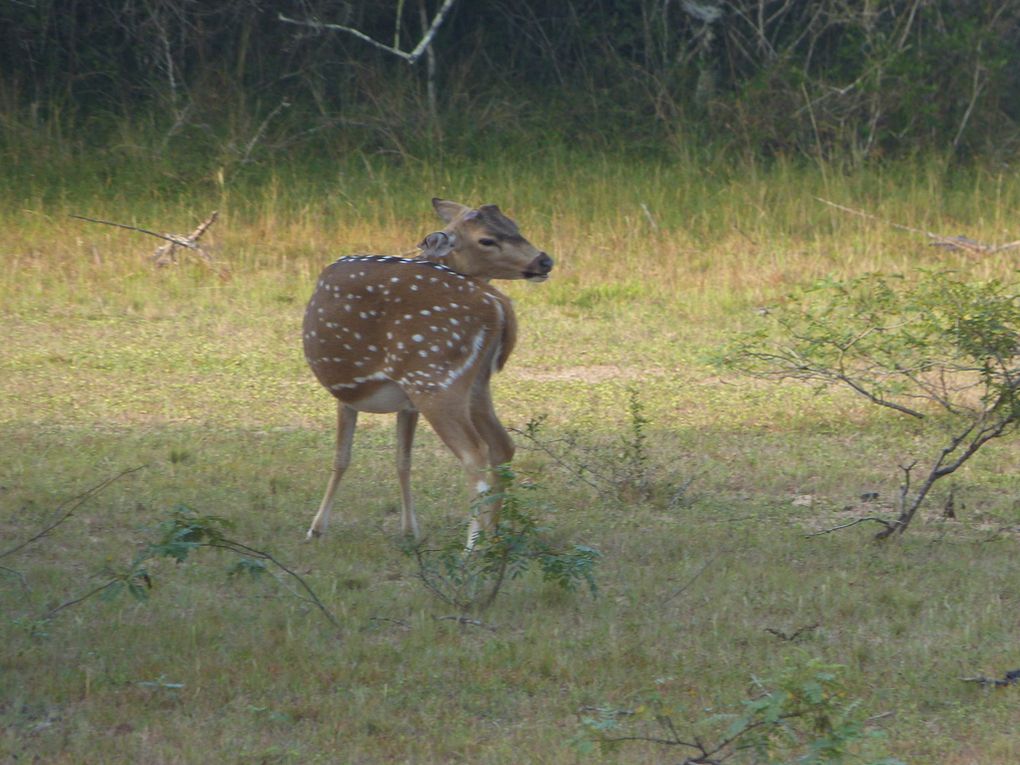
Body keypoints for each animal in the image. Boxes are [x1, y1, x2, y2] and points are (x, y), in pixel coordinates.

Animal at [301, 197, 554, 546]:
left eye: (515, 225)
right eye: (487, 239)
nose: (545, 261)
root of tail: (498, 305)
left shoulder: (349, 393)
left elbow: (341, 458)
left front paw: (316, 528)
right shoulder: (406, 404)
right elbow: (402, 461)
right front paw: (410, 530)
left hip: (434, 377)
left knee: (475, 453)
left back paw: (472, 546)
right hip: (472, 383)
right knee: (502, 446)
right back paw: (494, 537)